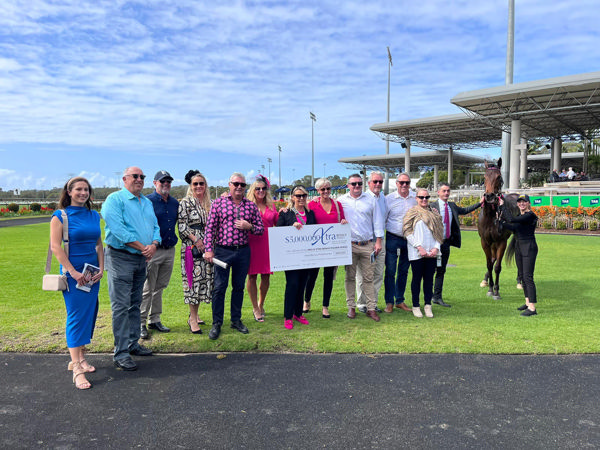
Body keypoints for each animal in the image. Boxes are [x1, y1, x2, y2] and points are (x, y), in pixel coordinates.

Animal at [476, 158, 516, 298]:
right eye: (484, 177)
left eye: (499, 177)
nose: (489, 196)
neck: (491, 217)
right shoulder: (485, 241)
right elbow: (489, 264)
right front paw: (490, 288)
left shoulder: (501, 242)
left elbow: (497, 266)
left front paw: (496, 291)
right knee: (492, 259)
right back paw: (485, 280)